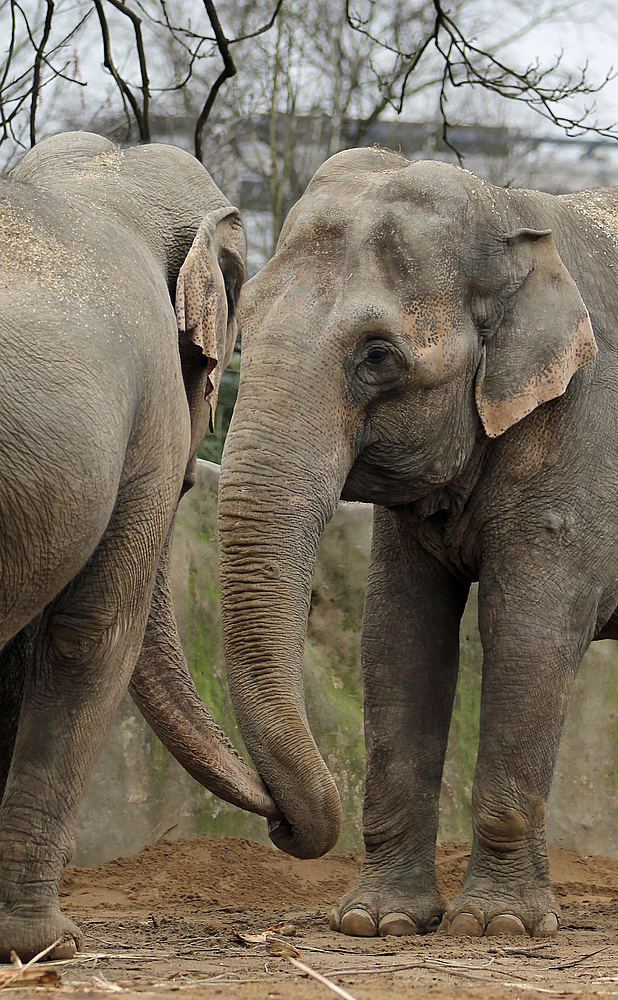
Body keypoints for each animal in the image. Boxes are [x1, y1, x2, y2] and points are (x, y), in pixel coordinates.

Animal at [215, 145, 612, 940]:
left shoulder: (579, 433)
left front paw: (499, 926)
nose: (277, 820)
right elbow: (400, 635)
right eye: (248, 317)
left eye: (377, 356)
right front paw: (378, 922)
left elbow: (528, 633)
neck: (512, 211)